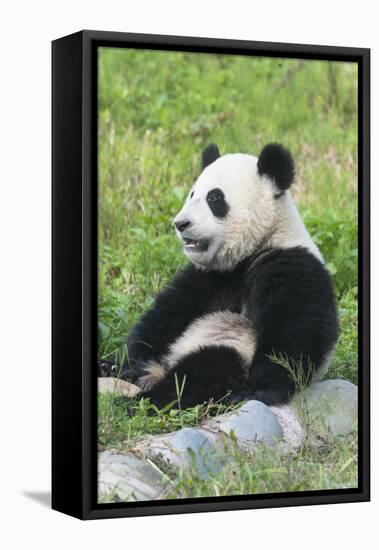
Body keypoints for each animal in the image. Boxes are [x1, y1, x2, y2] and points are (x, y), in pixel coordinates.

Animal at [98, 142, 338, 410]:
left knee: (205, 370)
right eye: (192, 194)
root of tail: (159, 371)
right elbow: (165, 316)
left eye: (214, 198)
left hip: (232, 348)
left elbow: (293, 331)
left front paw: (255, 392)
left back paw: (141, 400)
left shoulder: (291, 265)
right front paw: (125, 361)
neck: (252, 251)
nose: (181, 223)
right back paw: (116, 370)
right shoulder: (208, 276)